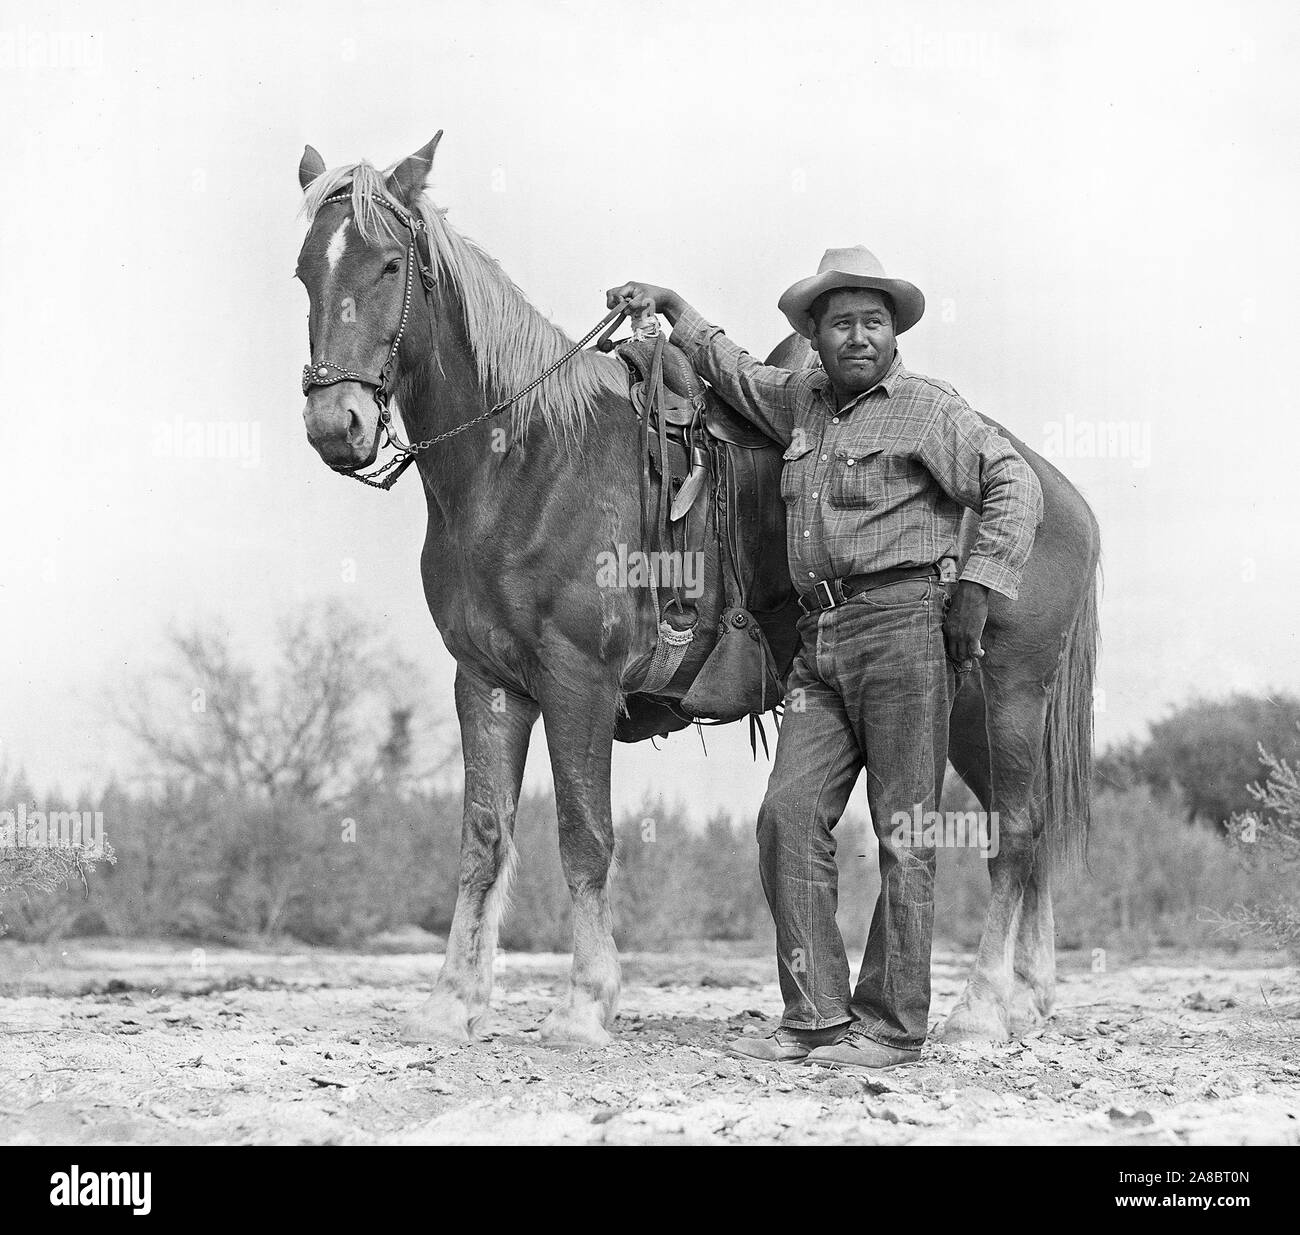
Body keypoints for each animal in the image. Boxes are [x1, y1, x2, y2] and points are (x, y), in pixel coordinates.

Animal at [292, 135, 1097, 1050]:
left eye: (390, 265)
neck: (524, 460)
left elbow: (583, 835)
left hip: (1008, 693)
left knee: (1016, 835)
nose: (336, 425)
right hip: (966, 712)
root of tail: (1048, 487)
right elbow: (484, 837)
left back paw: (984, 1009)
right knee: (1025, 830)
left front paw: (585, 1004)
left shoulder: (577, 680)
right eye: (305, 271)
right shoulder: (486, 683)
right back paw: (1026, 1000)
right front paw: (453, 1001)